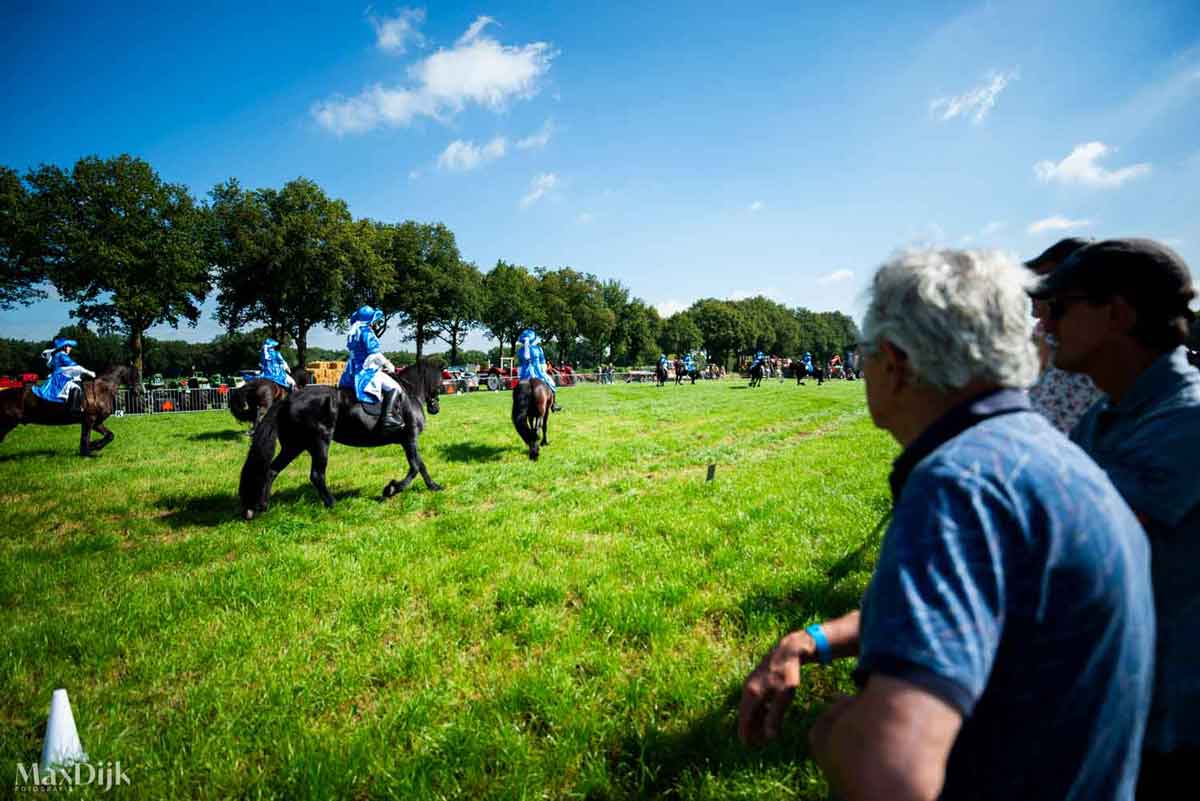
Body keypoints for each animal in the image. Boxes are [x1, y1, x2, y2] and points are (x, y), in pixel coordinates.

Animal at [0, 364, 141, 455]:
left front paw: (95, 445)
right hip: (7, 423)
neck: (101, 389)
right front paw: (90, 450)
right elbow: (85, 438)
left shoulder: (96, 422)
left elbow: (109, 435)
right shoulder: (89, 420)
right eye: (136, 375)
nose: (139, 392)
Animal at [236, 357, 444, 520]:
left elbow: (421, 465)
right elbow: (415, 467)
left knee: (272, 470)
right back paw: (331, 503)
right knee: (316, 475)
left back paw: (262, 506)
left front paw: (433, 486)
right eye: (441, 382)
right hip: (320, 442)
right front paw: (391, 489)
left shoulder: (408, 441)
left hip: (295, 445)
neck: (409, 395)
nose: (435, 408)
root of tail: (288, 400)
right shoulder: (409, 439)